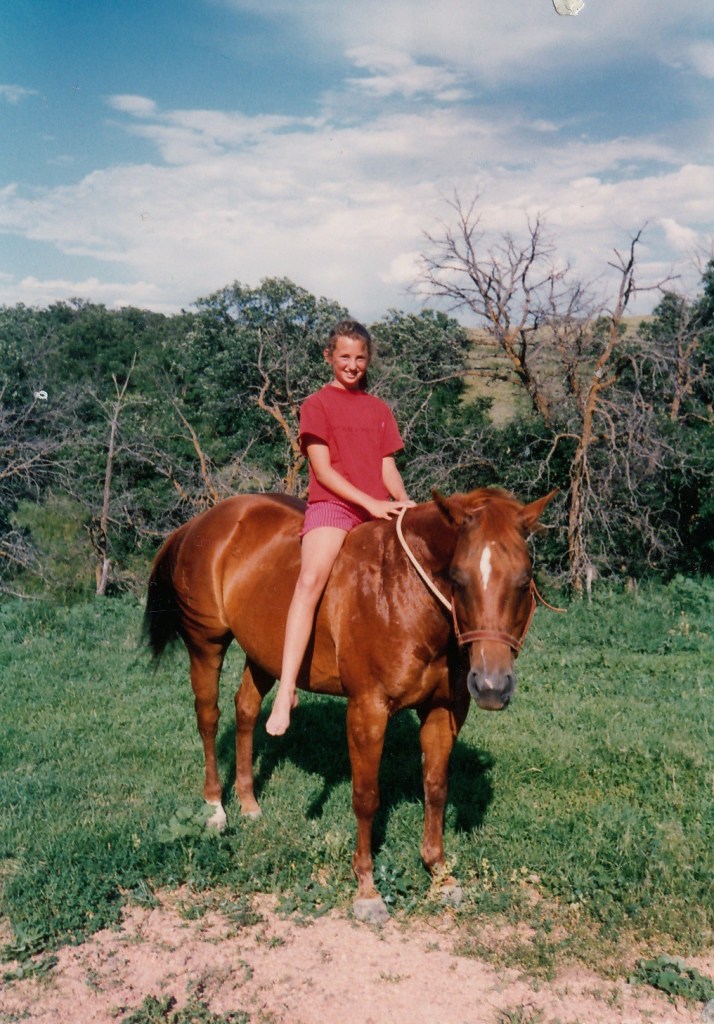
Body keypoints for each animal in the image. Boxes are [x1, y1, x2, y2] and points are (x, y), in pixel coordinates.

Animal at [144, 486, 557, 924]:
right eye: (458, 578)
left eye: (524, 581)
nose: (492, 686)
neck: (403, 592)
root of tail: (199, 523)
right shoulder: (367, 710)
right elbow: (366, 797)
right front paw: (366, 889)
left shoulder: (444, 711)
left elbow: (436, 788)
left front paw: (440, 873)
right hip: (206, 643)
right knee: (208, 717)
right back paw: (215, 807)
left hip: (262, 653)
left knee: (246, 711)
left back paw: (249, 802)